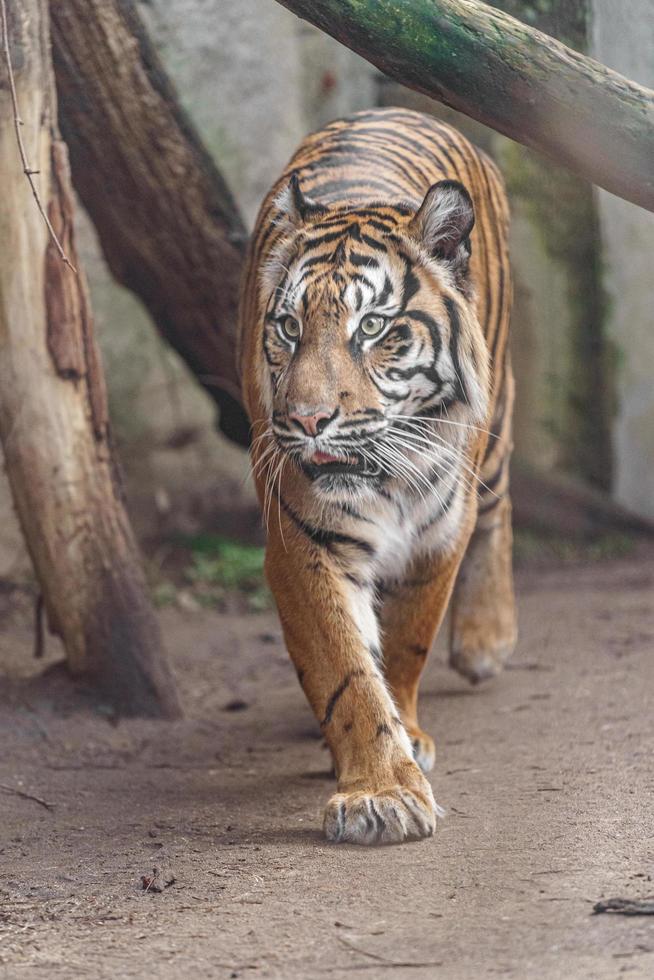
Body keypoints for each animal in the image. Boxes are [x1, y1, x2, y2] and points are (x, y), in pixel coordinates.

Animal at [238, 105, 520, 844]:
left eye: (372, 328)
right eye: (287, 326)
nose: (307, 420)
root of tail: (397, 106)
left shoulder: (439, 534)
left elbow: (407, 643)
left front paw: (408, 740)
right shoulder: (300, 541)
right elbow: (346, 670)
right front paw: (381, 793)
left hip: (495, 427)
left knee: (503, 500)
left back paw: (486, 640)